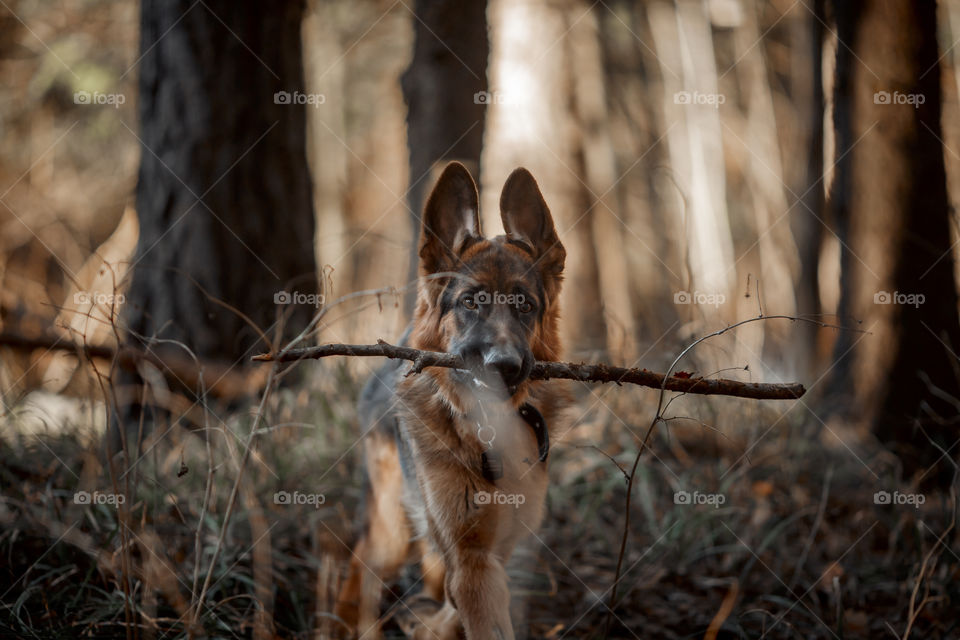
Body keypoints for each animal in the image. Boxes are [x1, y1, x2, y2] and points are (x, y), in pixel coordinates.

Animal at [336, 162, 568, 636]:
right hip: (392, 528)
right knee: (362, 562)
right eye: (471, 302)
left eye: (525, 306)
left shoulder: (494, 553)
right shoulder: (471, 558)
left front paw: (430, 620)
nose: (504, 366)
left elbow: (461, 604)